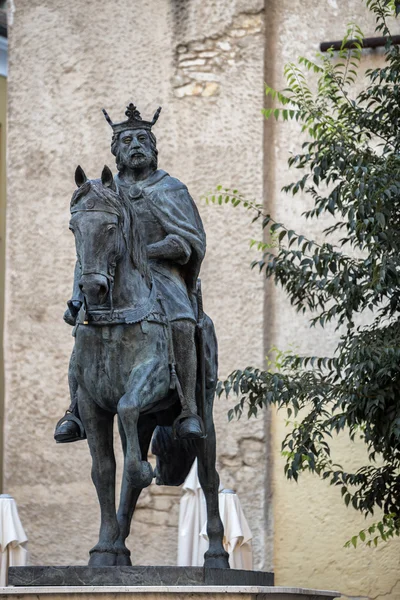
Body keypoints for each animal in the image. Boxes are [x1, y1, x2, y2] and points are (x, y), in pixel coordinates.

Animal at [67, 164, 230, 568]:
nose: (91, 289)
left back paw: (217, 554)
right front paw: (102, 549)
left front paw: (144, 471)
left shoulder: (152, 379)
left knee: (208, 475)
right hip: (145, 421)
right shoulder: (91, 404)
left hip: (202, 410)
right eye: (74, 227)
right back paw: (119, 548)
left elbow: (127, 410)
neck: (114, 317)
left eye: (112, 226)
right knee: (128, 470)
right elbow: (104, 471)